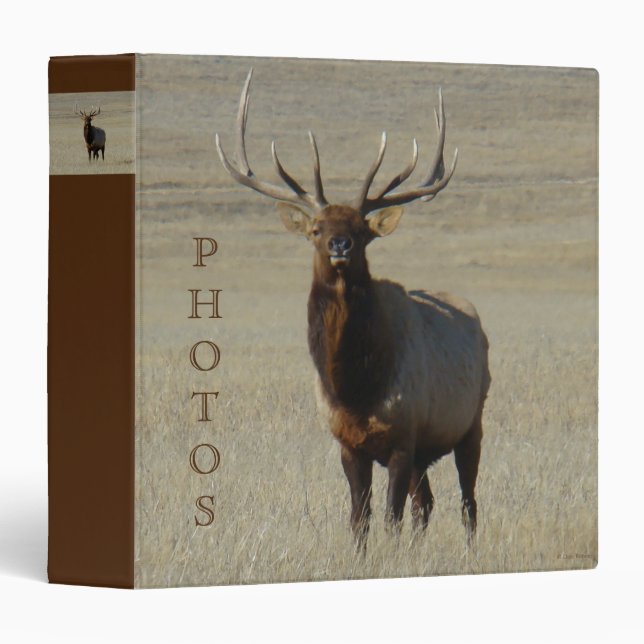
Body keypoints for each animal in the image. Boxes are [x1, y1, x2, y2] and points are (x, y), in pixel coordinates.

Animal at [216, 69, 491, 549]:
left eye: (362, 230)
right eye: (316, 228)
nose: (340, 244)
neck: (356, 387)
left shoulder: (402, 437)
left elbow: (391, 518)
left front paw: (392, 556)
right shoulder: (348, 443)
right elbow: (358, 519)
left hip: (471, 420)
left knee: (467, 502)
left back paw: (471, 551)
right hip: (426, 452)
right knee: (427, 503)